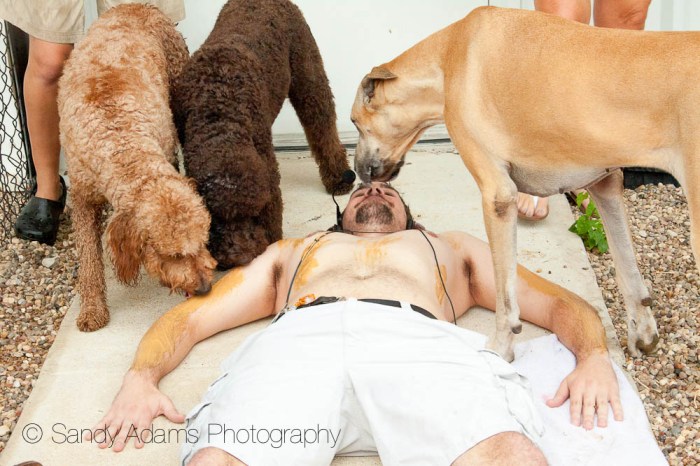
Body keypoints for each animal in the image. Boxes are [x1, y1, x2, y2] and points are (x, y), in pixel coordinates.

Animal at [58, 4, 216, 332]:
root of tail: (135, 5)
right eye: (174, 254)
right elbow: (89, 260)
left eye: (203, 241)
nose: (205, 288)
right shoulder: (81, 197)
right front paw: (92, 308)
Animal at [171, 0, 353, 270]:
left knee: (323, 128)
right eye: (216, 220)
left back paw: (340, 178)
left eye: (255, 214)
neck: (218, 112)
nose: (239, 257)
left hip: (310, 79)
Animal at [349, 6, 700, 360]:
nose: (357, 172)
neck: (448, 57)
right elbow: (628, 271)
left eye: (354, 121)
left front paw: (499, 350)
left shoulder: (498, 196)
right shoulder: (606, 185)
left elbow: (506, 299)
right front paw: (643, 333)